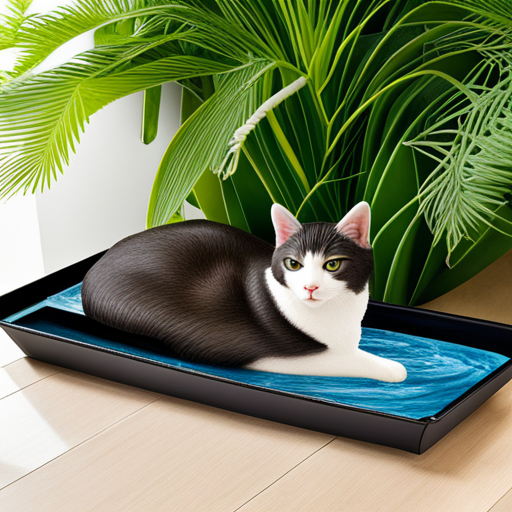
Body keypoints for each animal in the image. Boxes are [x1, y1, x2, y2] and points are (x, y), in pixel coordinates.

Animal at [81, 202, 408, 382]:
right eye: (294, 264)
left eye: (332, 264)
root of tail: (96, 266)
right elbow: (351, 359)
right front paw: (394, 368)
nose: (310, 287)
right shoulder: (270, 355)